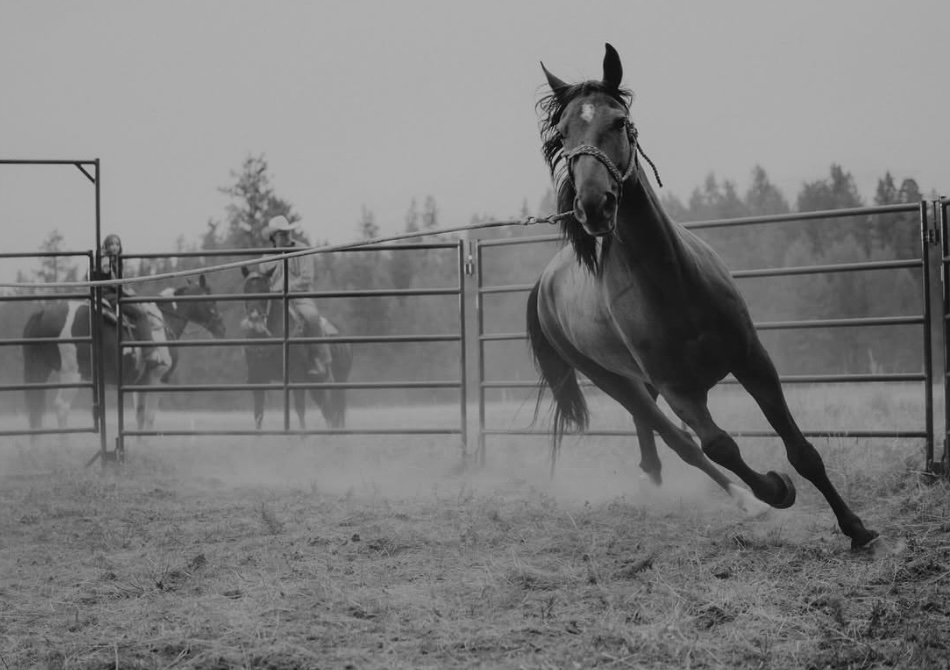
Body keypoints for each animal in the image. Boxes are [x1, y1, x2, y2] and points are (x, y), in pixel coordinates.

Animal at [22, 274, 226, 432]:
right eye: (211, 299)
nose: (221, 328)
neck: (164, 320)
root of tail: (42, 314)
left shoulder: (140, 383)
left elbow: (140, 416)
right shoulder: (157, 378)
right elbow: (150, 417)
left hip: (38, 368)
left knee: (34, 407)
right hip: (71, 374)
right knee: (61, 407)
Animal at [239, 266, 352, 430]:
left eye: (265, 288)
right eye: (246, 289)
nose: (255, 319)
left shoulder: (296, 376)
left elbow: (300, 409)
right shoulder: (257, 378)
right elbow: (258, 414)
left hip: (337, 382)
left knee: (332, 412)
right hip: (316, 385)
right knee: (329, 412)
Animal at [526, 43, 878, 550]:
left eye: (618, 121)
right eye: (563, 133)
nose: (593, 205)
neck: (674, 285)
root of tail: (546, 283)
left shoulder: (753, 360)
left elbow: (803, 451)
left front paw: (857, 529)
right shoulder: (681, 392)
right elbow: (719, 445)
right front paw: (775, 490)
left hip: (640, 380)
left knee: (653, 441)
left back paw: (654, 480)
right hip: (615, 381)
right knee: (677, 441)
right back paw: (744, 501)